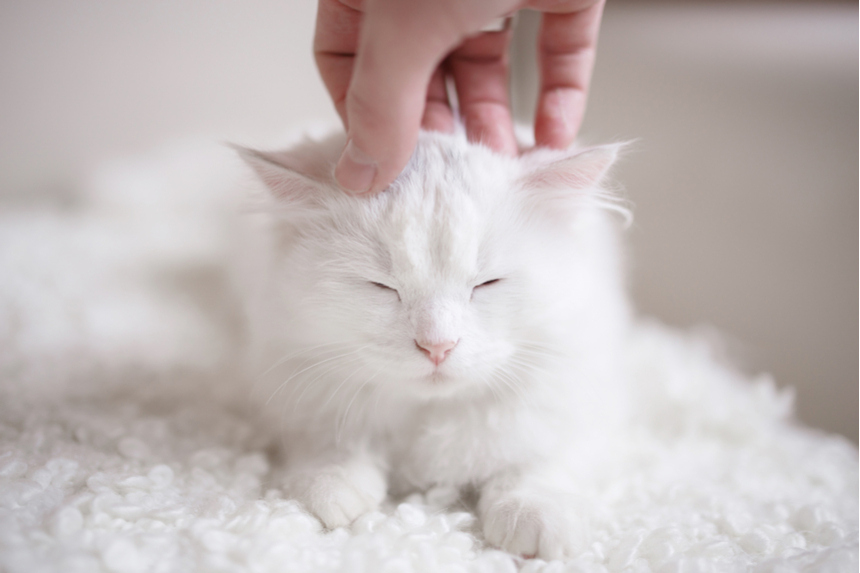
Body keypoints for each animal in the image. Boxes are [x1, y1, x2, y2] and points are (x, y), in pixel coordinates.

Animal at [235, 131, 632, 560]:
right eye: (381, 286)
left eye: (487, 283)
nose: (437, 346)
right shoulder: (298, 386)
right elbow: (331, 445)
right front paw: (332, 486)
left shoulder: (582, 404)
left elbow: (539, 461)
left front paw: (534, 515)